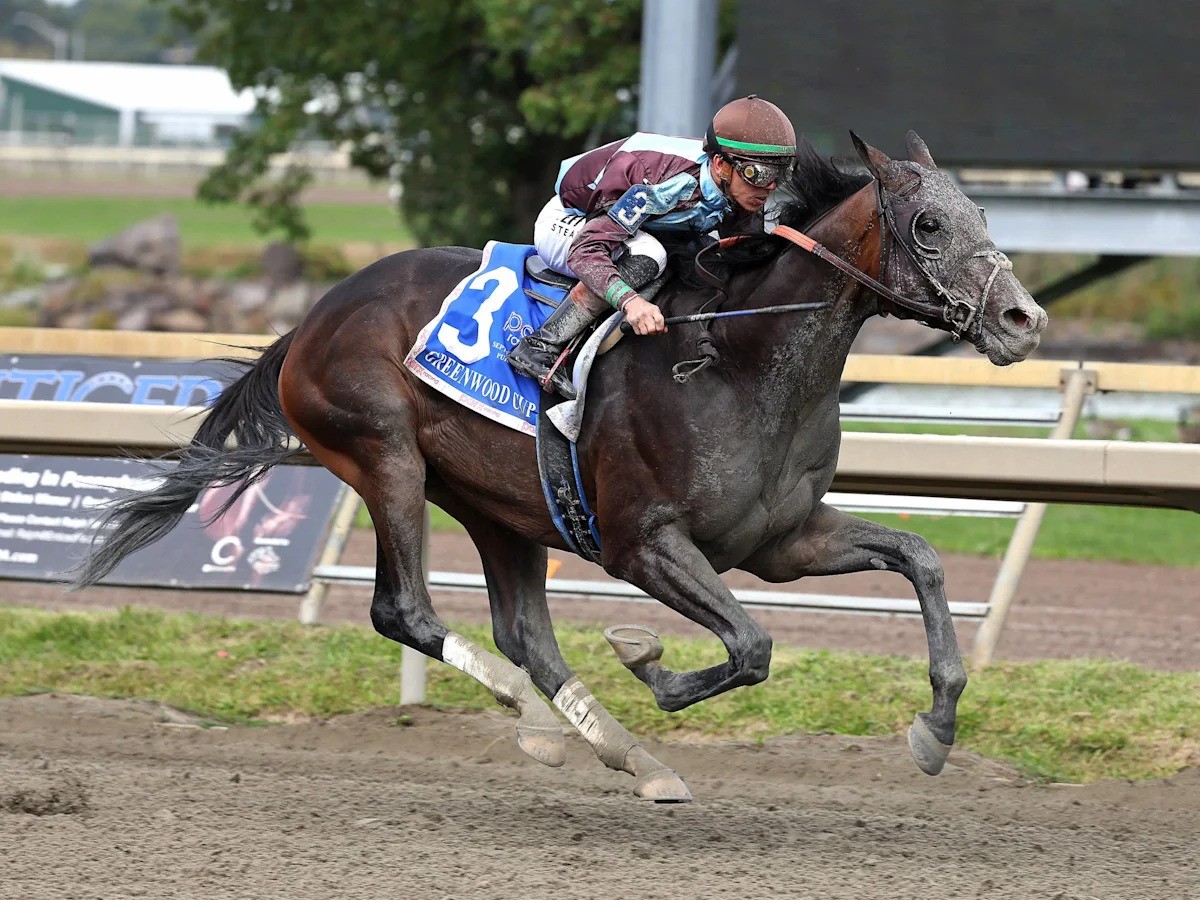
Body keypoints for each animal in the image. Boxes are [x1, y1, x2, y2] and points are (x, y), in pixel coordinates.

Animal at [72, 131, 1047, 802]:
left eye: (985, 216)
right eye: (928, 224)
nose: (1022, 320)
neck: (737, 356)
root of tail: (313, 316)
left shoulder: (783, 542)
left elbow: (918, 559)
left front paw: (937, 726)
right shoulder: (642, 544)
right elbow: (751, 645)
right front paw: (646, 657)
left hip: (501, 508)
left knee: (527, 638)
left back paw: (629, 758)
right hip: (384, 457)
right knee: (405, 610)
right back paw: (540, 725)